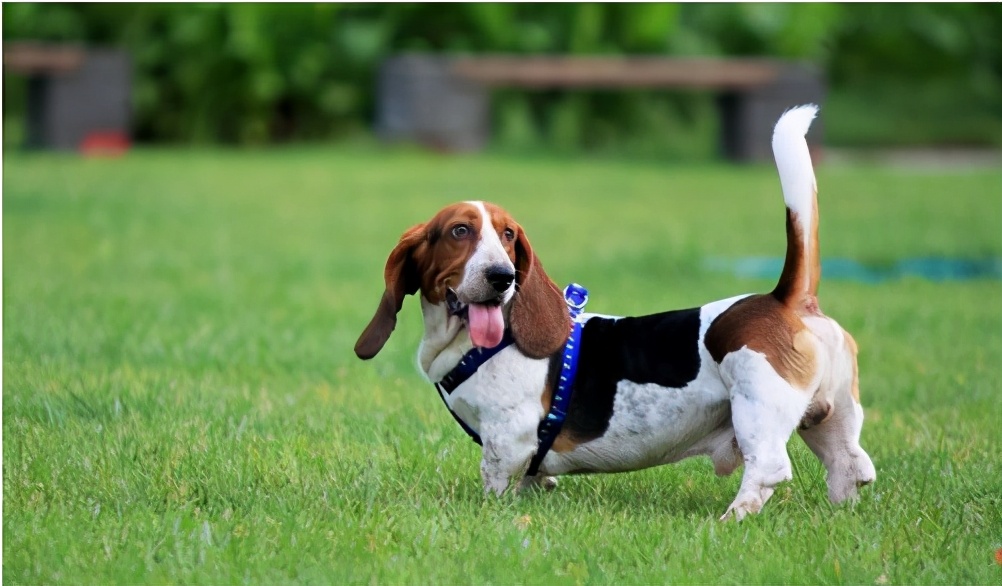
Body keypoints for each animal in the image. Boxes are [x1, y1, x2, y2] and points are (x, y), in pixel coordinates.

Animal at [356, 106, 873, 520]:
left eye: (508, 235)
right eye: (460, 231)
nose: (503, 277)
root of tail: (785, 298)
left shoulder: (507, 438)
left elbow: (496, 482)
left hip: (758, 406)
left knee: (768, 469)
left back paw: (732, 519)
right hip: (830, 417)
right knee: (851, 465)